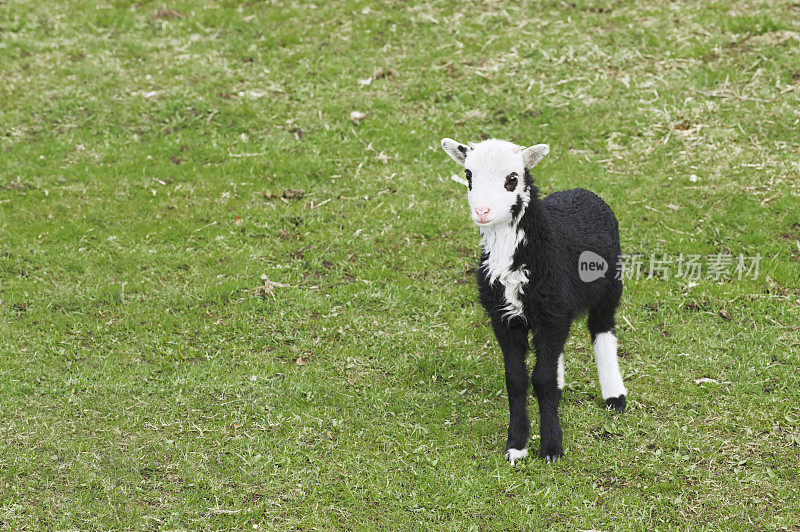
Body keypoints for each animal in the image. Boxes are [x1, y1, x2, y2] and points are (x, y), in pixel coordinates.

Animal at [440, 136, 628, 462]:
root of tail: (582, 191)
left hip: (607, 288)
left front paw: (551, 448)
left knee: (603, 330)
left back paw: (615, 396)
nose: (482, 211)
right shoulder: (505, 318)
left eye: (512, 179)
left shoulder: (551, 315)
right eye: (468, 175)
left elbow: (542, 380)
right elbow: (517, 380)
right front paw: (516, 445)